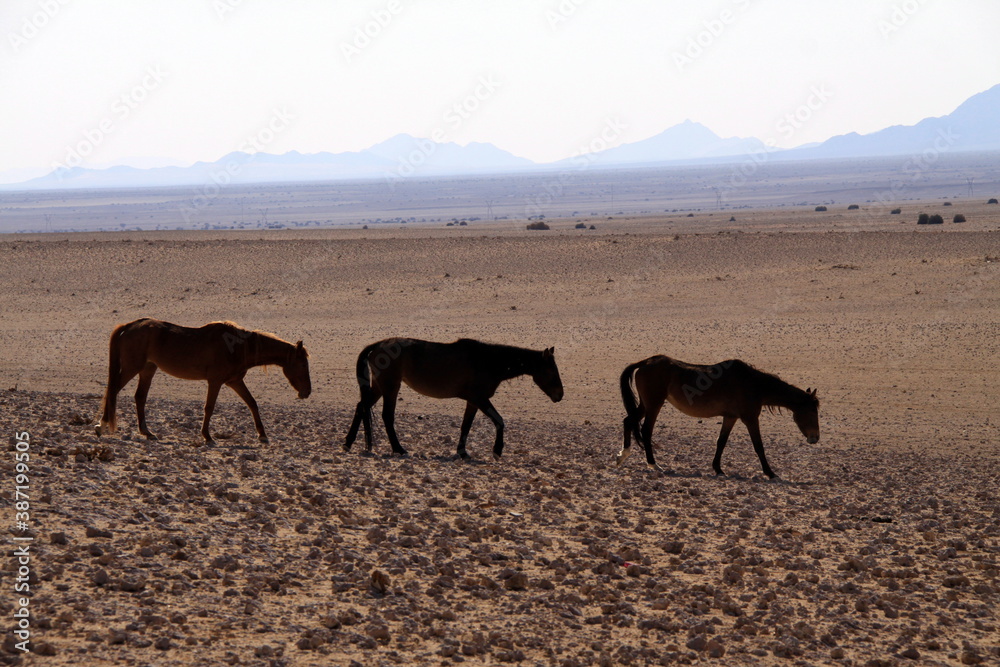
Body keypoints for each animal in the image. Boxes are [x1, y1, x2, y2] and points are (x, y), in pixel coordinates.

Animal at [98, 318, 310, 444]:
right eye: (302, 364)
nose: (306, 392)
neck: (239, 347)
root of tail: (128, 326)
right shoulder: (215, 381)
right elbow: (209, 407)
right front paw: (207, 436)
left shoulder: (234, 381)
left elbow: (252, 403)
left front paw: (263, 435)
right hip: (132, 368)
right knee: (113, 390)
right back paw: (102, 424)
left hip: (148, 369)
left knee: (139, 397)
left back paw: (146, 432)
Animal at [344, 340, 564, 460]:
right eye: (551, 371)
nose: (560, 395)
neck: (489, 361)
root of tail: (378, 345)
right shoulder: (480, 398)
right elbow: (499, 421)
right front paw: (497, 451)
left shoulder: (473, 401)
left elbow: (466, 425)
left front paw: (462, 452)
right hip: (390, 387)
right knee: (386, 416)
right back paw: (399, 449)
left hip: (380, 386)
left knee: (361, 407)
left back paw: (349, 443)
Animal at [616, 358, 820, 478]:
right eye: (812, 411)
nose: (815, 438)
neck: (754, 384)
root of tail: (646, 362)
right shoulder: (750, 418)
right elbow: (758, 446)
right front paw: (770, 473)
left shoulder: (730, 417)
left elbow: (721, 442)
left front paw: (718, 469)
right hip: (654, 405)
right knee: (645, 430)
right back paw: (653, 465)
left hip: (646, 405)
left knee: (628, 421)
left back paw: (622, 456)